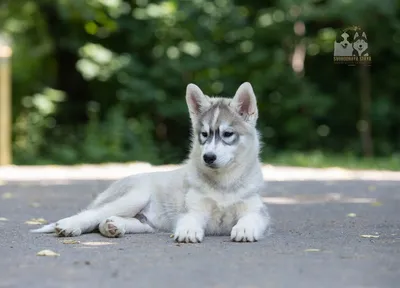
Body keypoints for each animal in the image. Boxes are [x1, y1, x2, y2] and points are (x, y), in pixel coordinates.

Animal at [31, 83, 268, 243]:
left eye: (227, 134)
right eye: (204, 134)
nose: (208, 157)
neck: (224, 185)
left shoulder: (257, 210)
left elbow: (251, 218)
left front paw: (245, 229)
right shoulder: (193, 209)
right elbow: (190, 219)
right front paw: (189, 231)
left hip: (146, 223)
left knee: (112, 221)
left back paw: (112, 226)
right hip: (134, 197)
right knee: (90, 215)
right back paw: (69, 225)